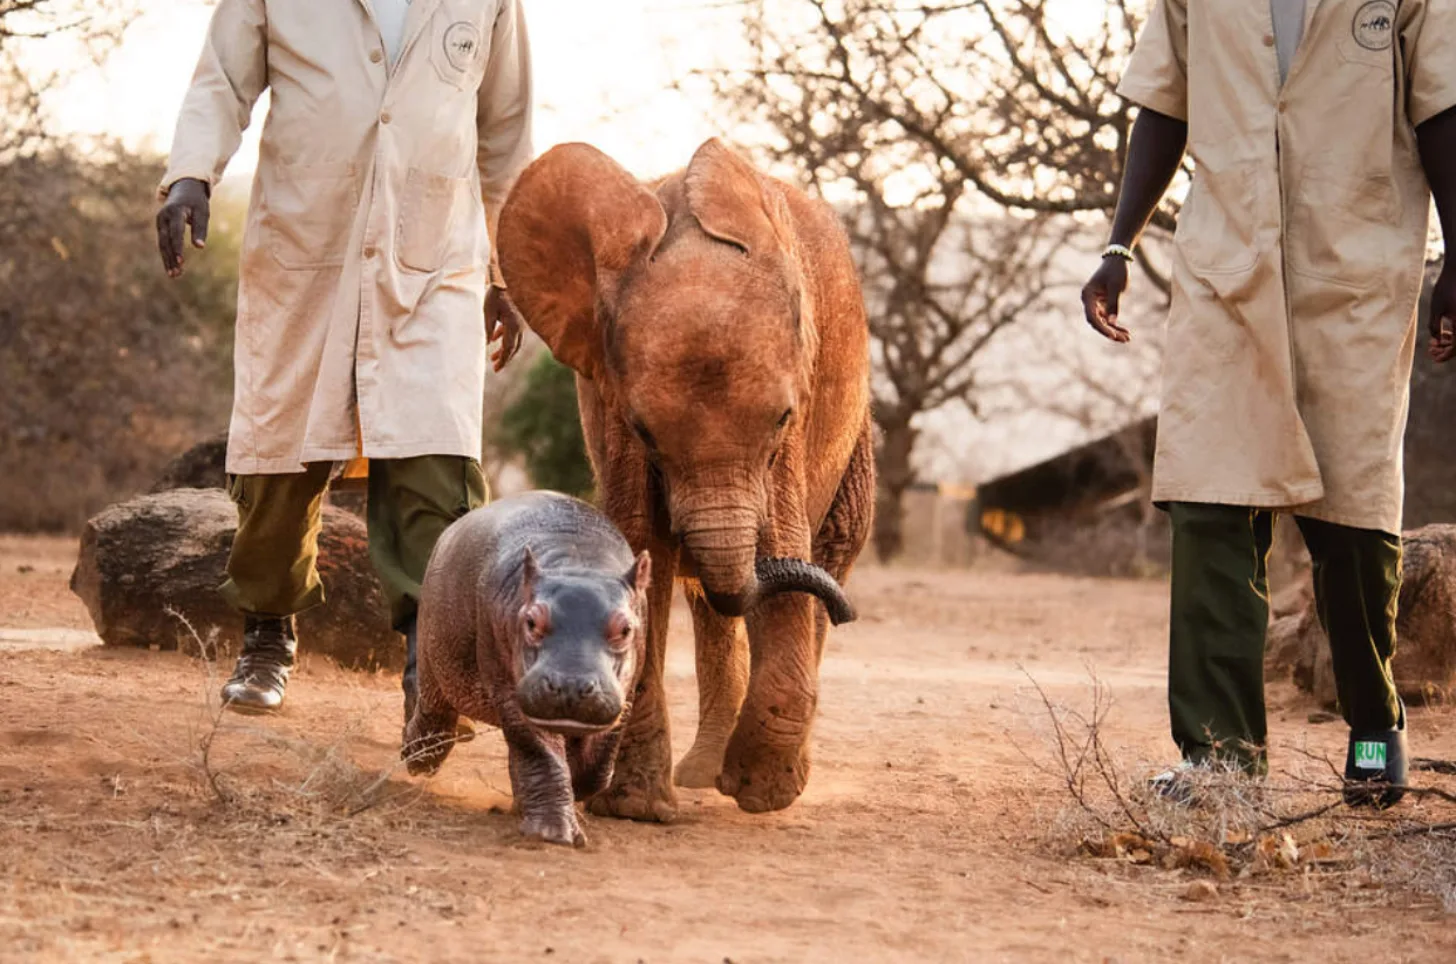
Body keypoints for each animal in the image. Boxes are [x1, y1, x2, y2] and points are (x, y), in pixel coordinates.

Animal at [402, 492, 651, 847]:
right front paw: (554, 833)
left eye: (626, 629)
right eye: (532, 621)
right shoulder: (509, 690)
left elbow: (597, 766)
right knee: (434, 712)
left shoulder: (625, 696)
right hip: (434, 658)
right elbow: (540, 751)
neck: (577, 563)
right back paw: (416, 759)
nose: (570, 683)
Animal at [496, 138, 874, 818]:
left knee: (828, 554)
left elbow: (784, 544)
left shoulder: (792, 428)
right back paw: (701, 775)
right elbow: (641, 545)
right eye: (646, 431)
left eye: (782, 418)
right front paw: (636, 808)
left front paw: (758, 792)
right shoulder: (613, 400)